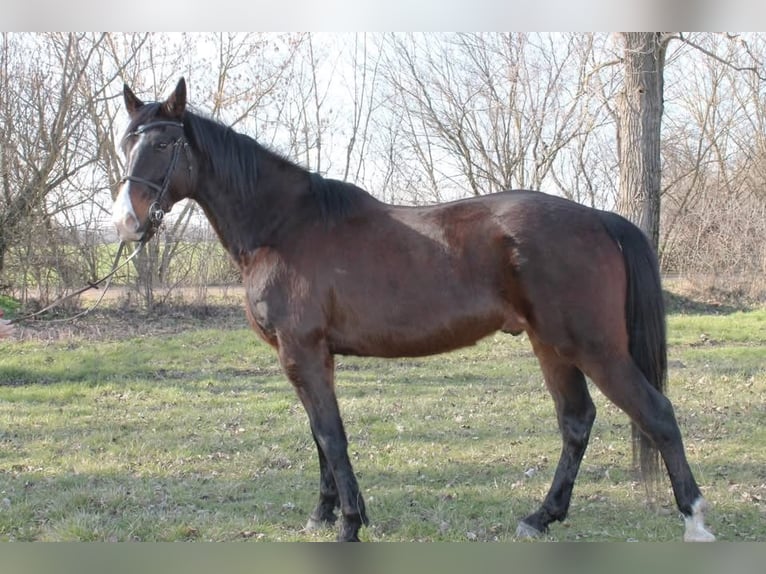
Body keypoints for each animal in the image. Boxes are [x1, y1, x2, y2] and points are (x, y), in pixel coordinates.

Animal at [111, 77, 715, 542]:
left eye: (163, 145)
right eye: (126, 144)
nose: (127, 223)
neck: (283, 226)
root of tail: (599, 219)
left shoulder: (302, 352)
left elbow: (331, 434)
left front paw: (349, 524)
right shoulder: (311, 357)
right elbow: (319, 435)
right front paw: (324, 514)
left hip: (594, 347)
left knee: (657, 413)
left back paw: (695, 519)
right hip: (552, 345)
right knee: (576, 421)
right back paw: (541, 517)